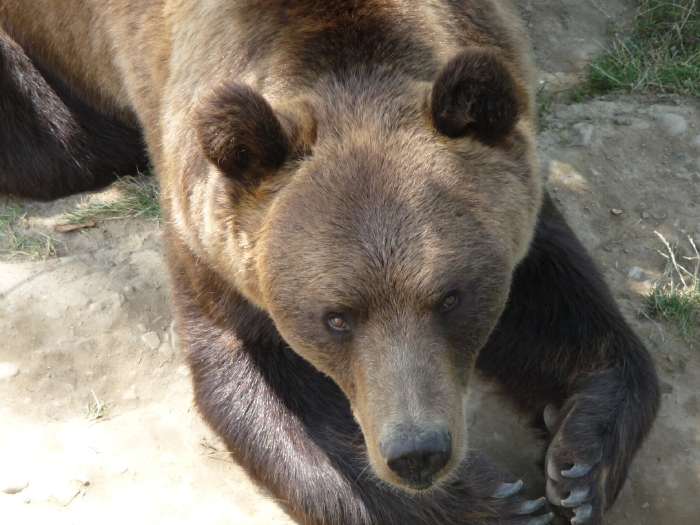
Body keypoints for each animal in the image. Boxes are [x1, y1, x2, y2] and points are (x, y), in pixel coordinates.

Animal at [0, 2, 660, 520]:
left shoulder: (510, 194)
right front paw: (495, 503)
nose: (418, 452)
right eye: (336, 317)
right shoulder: (211, 237)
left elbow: (556, 299)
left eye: (452, 297)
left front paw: (580, 460)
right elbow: (268, 387)